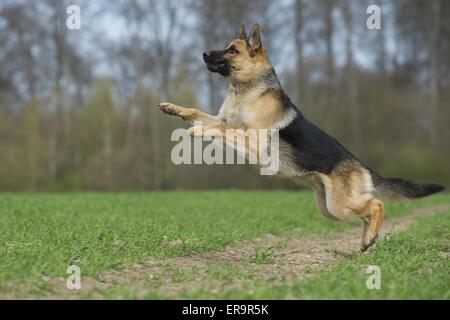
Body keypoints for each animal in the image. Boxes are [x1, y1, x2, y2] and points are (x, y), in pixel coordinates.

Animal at [160, 23, 444, 251]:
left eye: (232, 50)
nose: (204, 53)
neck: (245, 90)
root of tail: (362, 165)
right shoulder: (222, 119)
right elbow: (199, 114)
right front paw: (174, 109)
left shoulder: (252, 139)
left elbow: (223, 130)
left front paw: (198, 131)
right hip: (330, 209)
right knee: (368, 211)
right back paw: (368, 240)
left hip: (340, 206)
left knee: (378, 205)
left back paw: (370, 238)